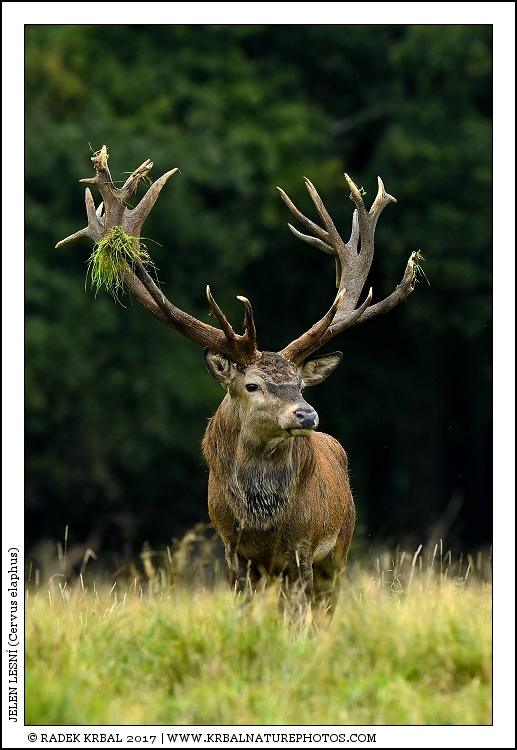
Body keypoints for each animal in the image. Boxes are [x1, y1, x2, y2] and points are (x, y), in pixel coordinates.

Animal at [56, 146, 418, 624]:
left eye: (301, 383)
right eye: (252, 386)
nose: (307, 414)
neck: (263, 521)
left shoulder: (304, 547)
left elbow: (300, 617)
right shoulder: (231, 544)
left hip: (339, 546)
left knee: (323, 608)